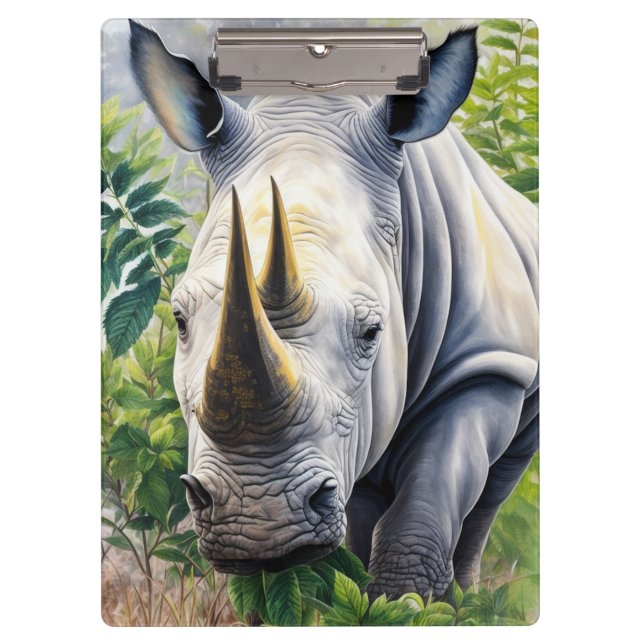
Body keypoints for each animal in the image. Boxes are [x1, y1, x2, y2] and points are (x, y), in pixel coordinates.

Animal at [129, 20, 539, 599]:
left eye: (372, 332)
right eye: (180, 322)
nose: (259, 523)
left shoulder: (487, 362)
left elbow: (429, 501)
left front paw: (405, 601)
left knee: (495, 485)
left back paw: (465, 599)